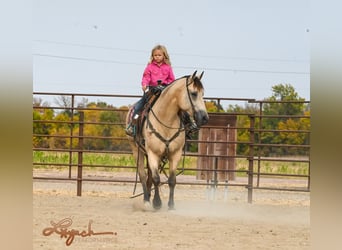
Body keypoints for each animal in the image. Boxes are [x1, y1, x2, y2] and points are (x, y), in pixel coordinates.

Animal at [125, 70, 208, 209]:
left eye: (203, 94)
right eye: (194, 93)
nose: (205, 118)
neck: (166, 119)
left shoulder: (175, 154)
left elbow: (172, 180)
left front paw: (171, 205)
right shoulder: (153, 153)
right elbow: (156, 179)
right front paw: (157, 203)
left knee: (149, 176)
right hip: (137, 150)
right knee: (143, 175)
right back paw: (146, 201)